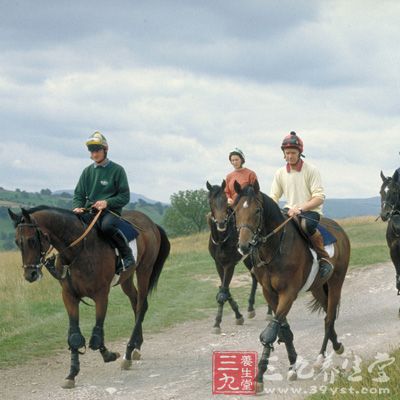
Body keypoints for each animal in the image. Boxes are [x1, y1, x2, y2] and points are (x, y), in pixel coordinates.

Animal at [7, 206, 170, 388]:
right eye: (17, 242)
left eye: (32, 241)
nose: (31, 274)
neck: (77, 252)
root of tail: (151, 223)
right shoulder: (69, 296)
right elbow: (74, 336)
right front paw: (71, 374)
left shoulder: (101, 295)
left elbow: (96, 335)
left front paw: (108, 355)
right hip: (126, 279)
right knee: (136, 303)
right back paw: (136, 347)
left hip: (144, 270)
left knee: (141, 306)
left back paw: (128, 353)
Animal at [206, 181, 272, 334]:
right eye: (211, 202)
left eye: (225, 200)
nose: (221, 223)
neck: (222, 240)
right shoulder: (219, 264)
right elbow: (224, 290)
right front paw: (238, 315)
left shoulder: (229, 265)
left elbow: (223, 291)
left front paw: (217, 323)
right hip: (247, 258)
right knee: (254, 277)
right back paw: (251, 308)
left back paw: (268, 312)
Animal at [231, 180, 350, 390]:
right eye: (236, 211)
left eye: (257, 211)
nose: (244, 246)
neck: (274, 250)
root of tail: (340, 231)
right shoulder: (269, 293)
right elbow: (284, 330)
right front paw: (292, 365)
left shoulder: (288, 293)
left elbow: (271, 333)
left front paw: (260, 376)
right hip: (317, 287)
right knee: (327, 313)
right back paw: (337, 345)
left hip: (336, 281)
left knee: (329, 318)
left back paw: (320, 358)